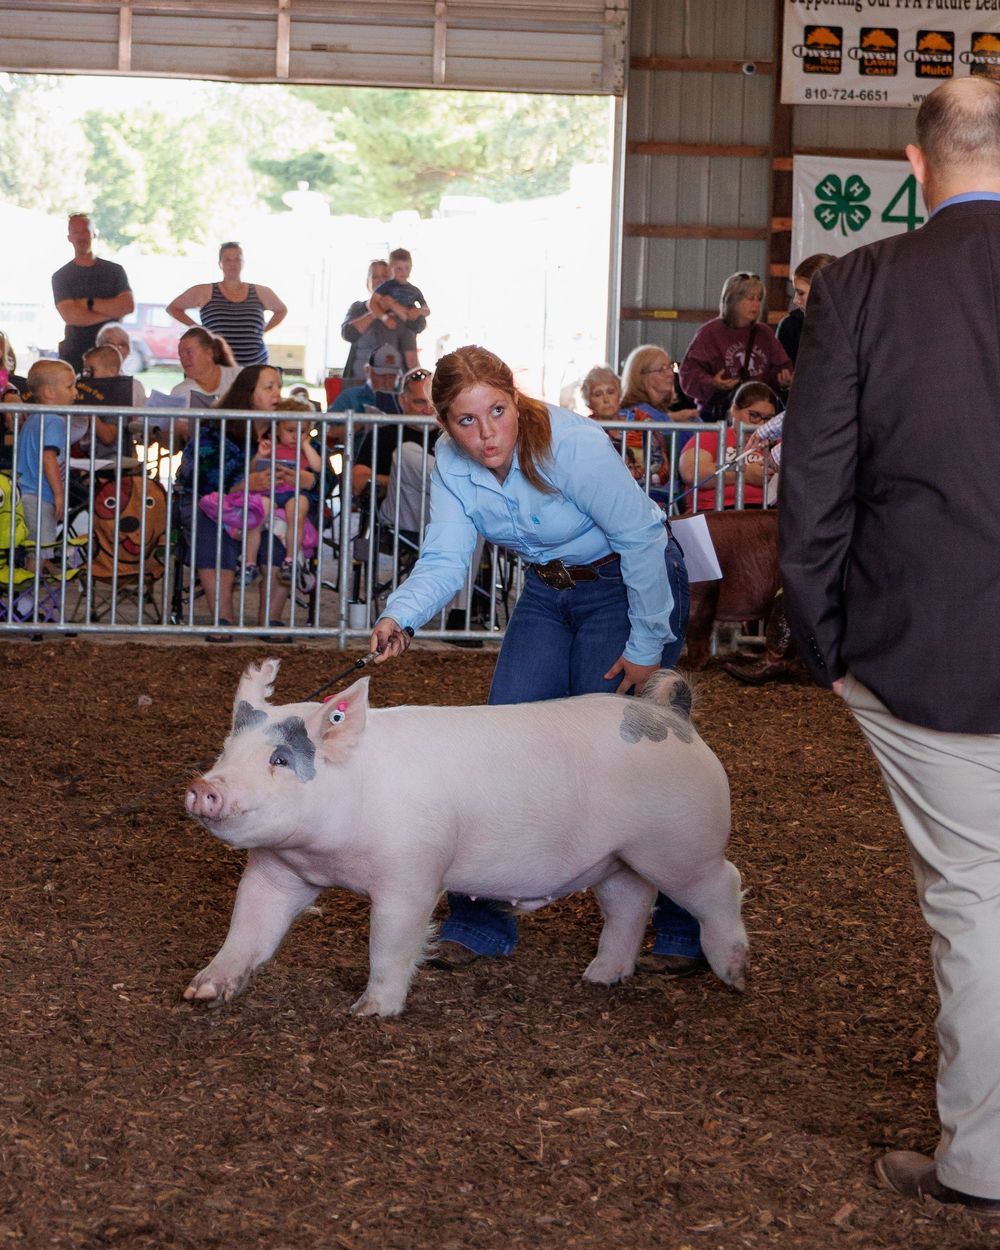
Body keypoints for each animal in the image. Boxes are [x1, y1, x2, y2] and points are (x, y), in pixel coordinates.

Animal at [184, 659, 749, 1018]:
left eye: (280, 760)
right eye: (226, 750)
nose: (203, 787)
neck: (324, 855)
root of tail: (674, 717)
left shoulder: (412, 875)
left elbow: (390, 942)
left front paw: (368, 1012)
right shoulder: (277, 871)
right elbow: (247, 926)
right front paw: (200, 992)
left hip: (682, 844)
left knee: (722, 883)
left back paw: (735, 976)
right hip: (618, 857)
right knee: (630, 903)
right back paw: (598, 977)